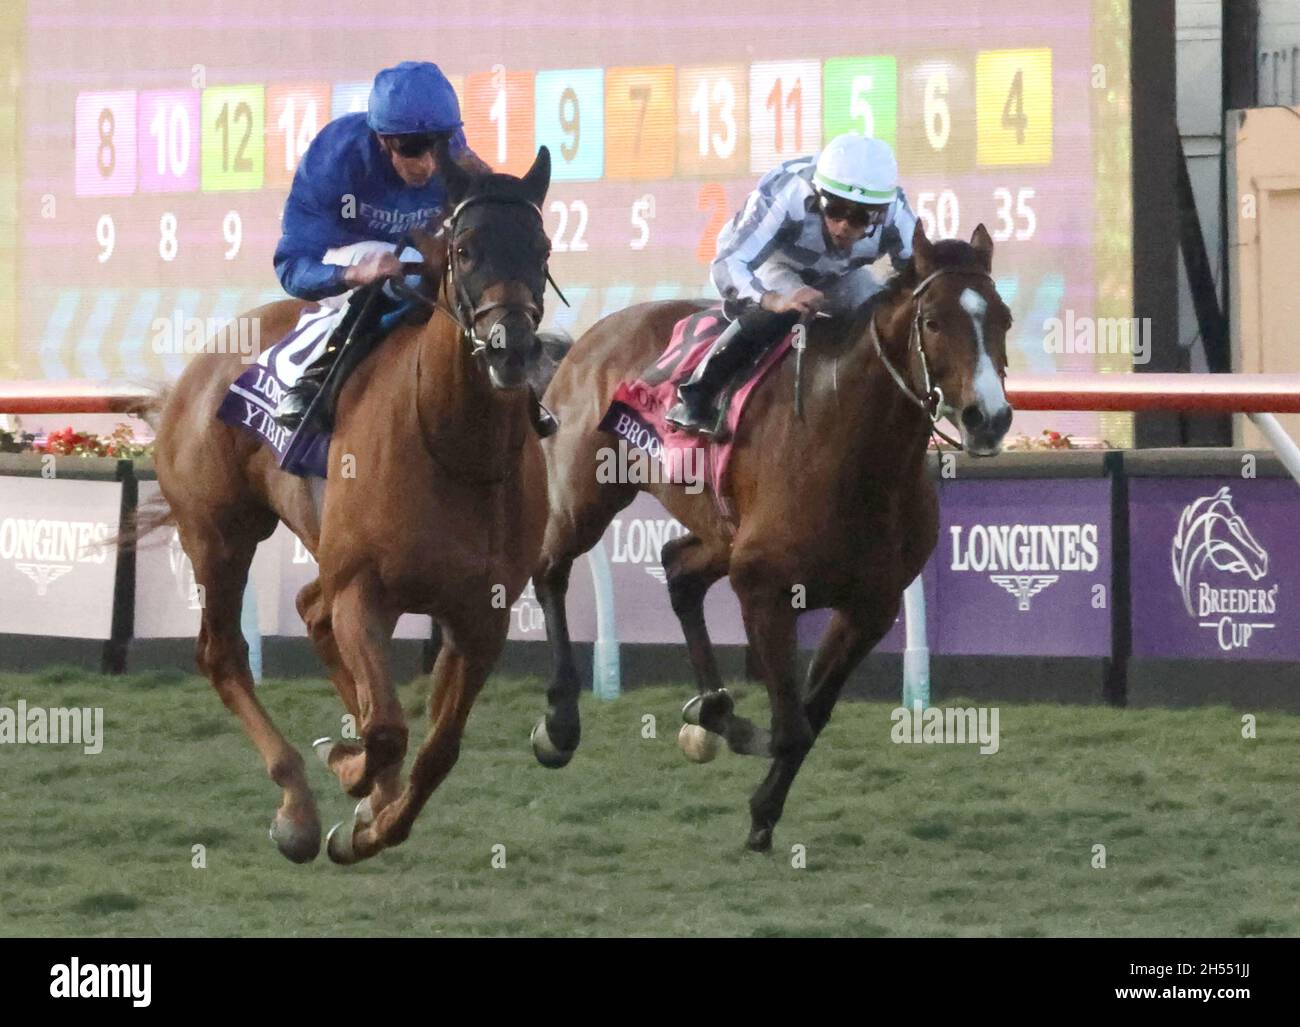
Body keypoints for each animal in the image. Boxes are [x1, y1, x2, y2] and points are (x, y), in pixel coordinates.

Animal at [149, 144, 556, 863]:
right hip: (219, 535)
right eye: (466, 248)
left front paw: (374, 816)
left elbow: (436, 748)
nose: (511, 347)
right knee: (223, 653)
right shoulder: (364, 589)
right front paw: (349, 770)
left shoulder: (482, 616)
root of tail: (197, 367)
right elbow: (388, 731)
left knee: (313, 614)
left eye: (542, 248)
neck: (456, 446)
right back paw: (297, 805)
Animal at [527, 223, 1013, 852]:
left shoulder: (870, 607)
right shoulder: (763, 588)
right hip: (585, 494)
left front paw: (761, 804)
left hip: (720, 530)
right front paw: (745, 760)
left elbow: (812, 714)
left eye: (1003, 318)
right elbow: (791, 725)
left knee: (678, 568)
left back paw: (712, 706)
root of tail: (589, 339)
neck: (851, 450)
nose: (989, 420)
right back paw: (561, 724)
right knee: (551, 572)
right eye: (932, 321)